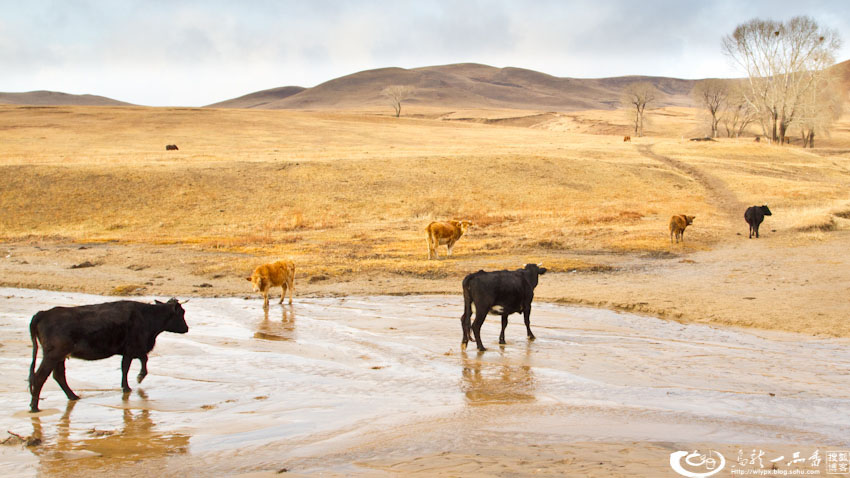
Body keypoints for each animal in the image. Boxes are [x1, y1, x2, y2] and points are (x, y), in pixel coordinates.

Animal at [27, 296, 187, 412]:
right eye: (181, 313)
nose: (187, 328)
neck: (147, 317)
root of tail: (43, 313)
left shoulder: (133, 349)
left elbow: (140, 360)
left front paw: (135, 380)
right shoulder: (132, 348)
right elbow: (130, 365)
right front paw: (131, 383)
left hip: (59, 356)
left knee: (58, 376)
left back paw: (73, 397)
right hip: (53, 355)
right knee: (40, 377)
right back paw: (35, 407)